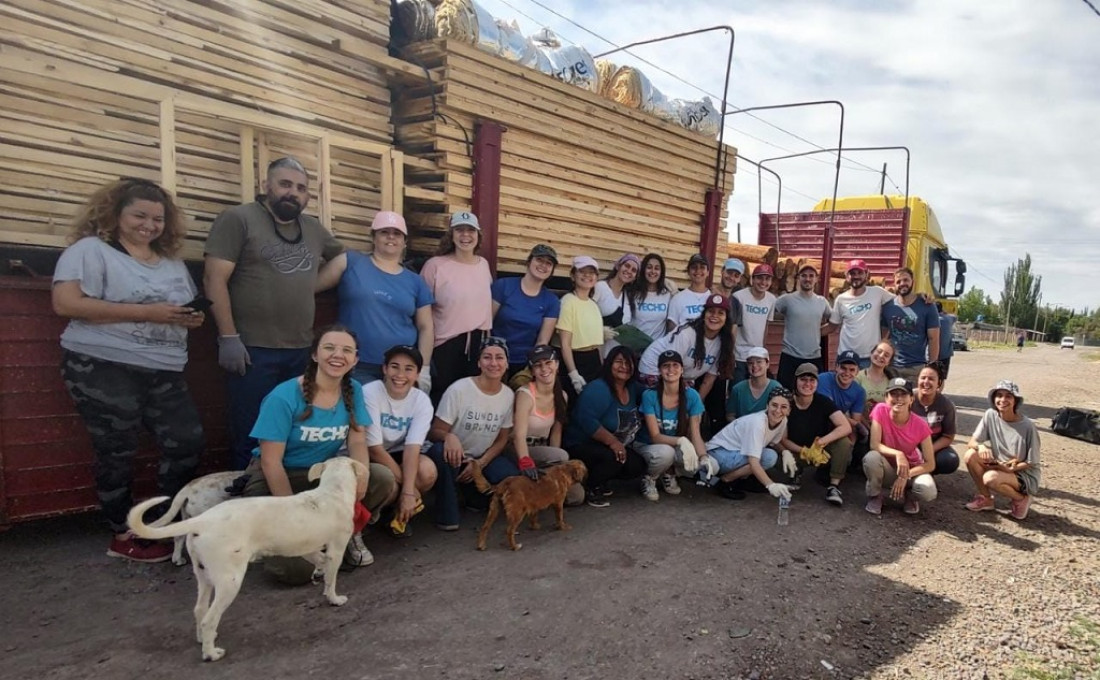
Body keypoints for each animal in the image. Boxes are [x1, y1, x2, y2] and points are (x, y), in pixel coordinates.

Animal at [127, 453, 369, 660]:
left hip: (204, 576)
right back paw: (211, 653)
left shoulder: (305, 546)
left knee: (199, 610)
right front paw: (334, 598)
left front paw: (319, 571)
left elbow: (318, 559)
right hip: (229, 581)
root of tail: (203, 521)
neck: (332, 492)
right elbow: (332, 577)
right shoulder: (337, 547)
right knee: (209, 619)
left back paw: (204, 639)